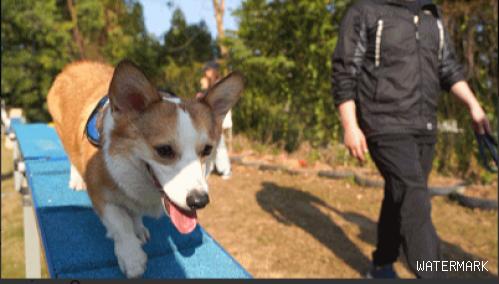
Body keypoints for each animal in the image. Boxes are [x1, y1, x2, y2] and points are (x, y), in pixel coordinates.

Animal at [46, 60, 245, 278]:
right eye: (164, 150)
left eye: (207, 150)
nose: (199, 201)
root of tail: (74, 66)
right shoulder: (99, 195)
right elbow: (120, 223)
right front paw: (132, 257)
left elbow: (133, 215)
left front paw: (138, 228)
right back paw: (76, 179)